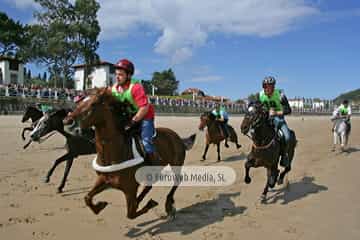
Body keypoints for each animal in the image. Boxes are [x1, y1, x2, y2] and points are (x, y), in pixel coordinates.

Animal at [63, 88, 195, 219]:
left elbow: (131, 214)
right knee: (150, 185)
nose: (68, 121)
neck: (115, 153)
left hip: (176, 163)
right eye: (79, 102)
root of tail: (178, 137)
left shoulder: (130, 188)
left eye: (93, 104)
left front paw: (150, 204)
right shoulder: (103, 180)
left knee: (177, 180)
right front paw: (100, 205)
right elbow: (87, 197)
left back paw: (168, 205)